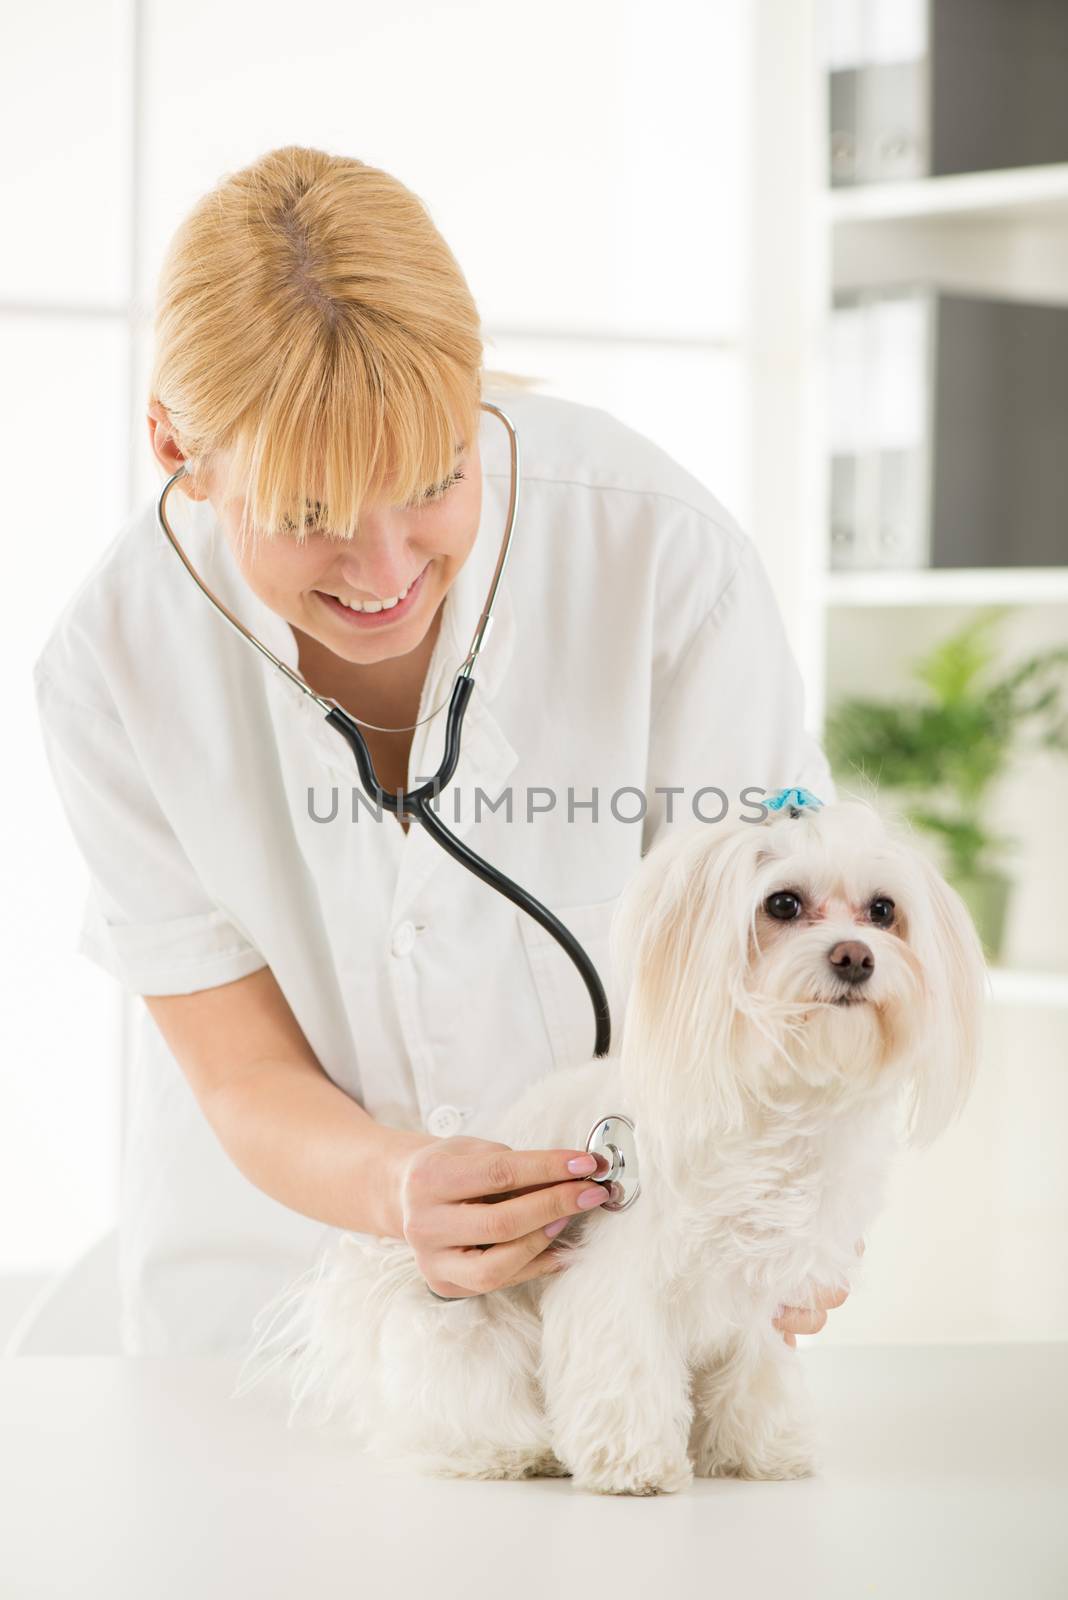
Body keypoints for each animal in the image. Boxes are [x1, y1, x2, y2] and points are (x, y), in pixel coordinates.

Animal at [238, 800, 991, 1497]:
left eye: (883, 911)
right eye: (782, 903)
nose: (855, 956)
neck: (777, 1110)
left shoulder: (767, 1294)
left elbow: (757, 1372)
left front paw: (760, 1452)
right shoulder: (617, 1283)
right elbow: (625, 1370)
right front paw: (636, 1465)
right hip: (467, 1327)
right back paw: (507, 1452)